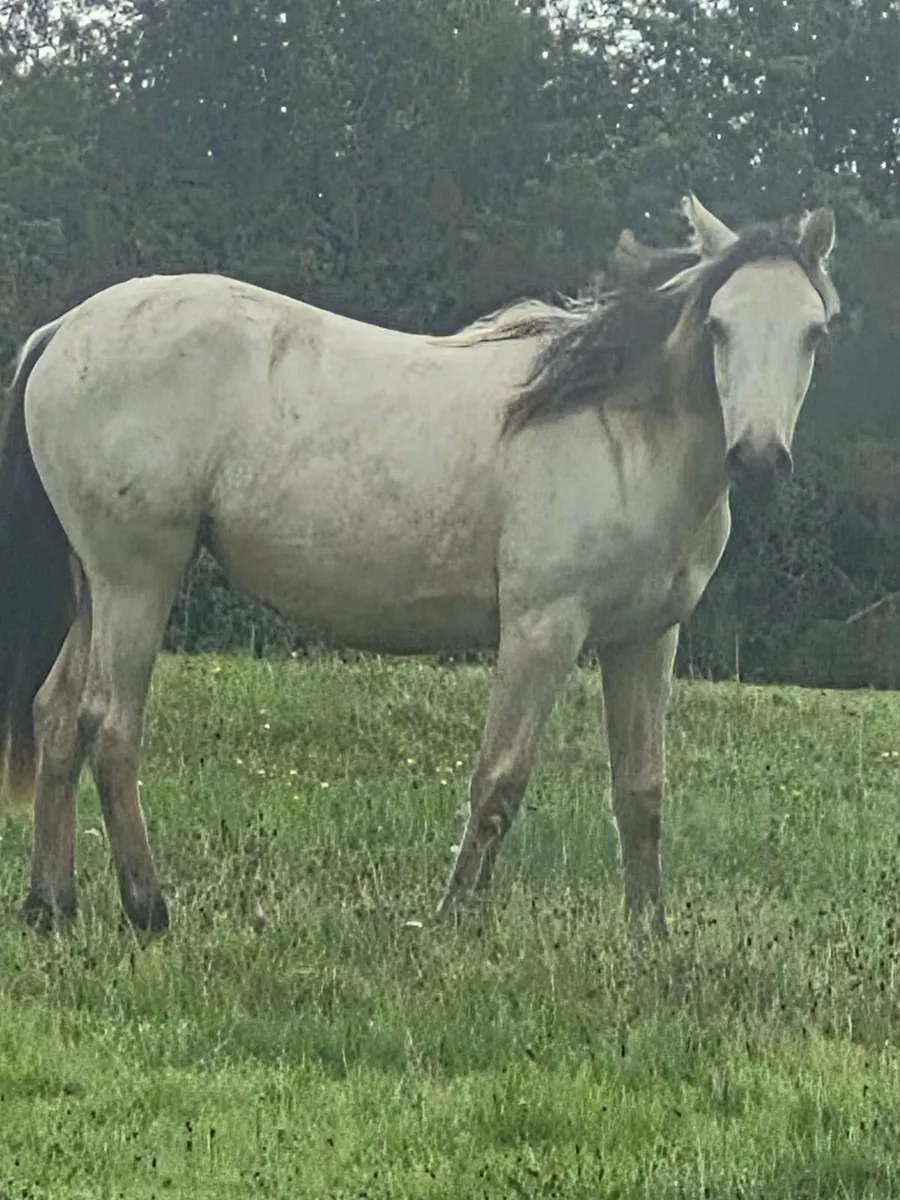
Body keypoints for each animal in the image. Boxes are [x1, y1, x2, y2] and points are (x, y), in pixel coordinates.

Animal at [0, 194, 839, 936]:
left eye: (813, 333)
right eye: (719, 326)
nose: (758, 459)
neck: (618, 430)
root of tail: (62, 332)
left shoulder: (643, 641)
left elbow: (641, 791)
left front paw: (648, 935)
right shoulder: (543, 630)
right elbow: (500, 779)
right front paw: (453, 924)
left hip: (95, 589)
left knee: (56, 719)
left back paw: (51, 906)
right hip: (136, 582)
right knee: (110, 728)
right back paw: (147, 911)